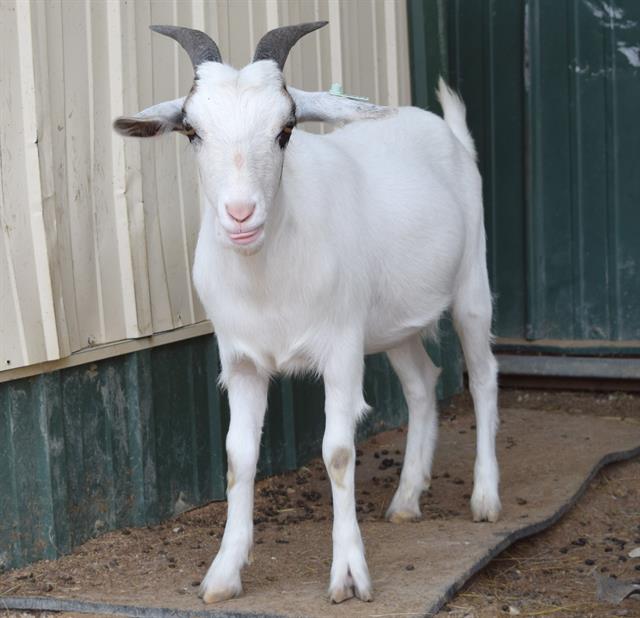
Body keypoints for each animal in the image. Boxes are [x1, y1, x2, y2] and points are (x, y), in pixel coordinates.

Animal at [117, 21, 502, 604]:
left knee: (481, 376)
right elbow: (238, 457)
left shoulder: (341, 349)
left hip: (472, 282)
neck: (267, 279)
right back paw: (406, 498)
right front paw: (223, 574)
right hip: (392, 324)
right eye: (192, 132)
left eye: (285, 130)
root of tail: (450, 134)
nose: (240, 215)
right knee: (421, 382)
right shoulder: (241, 362)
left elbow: (338, 452)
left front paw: (349, 575)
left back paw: (484, 497)